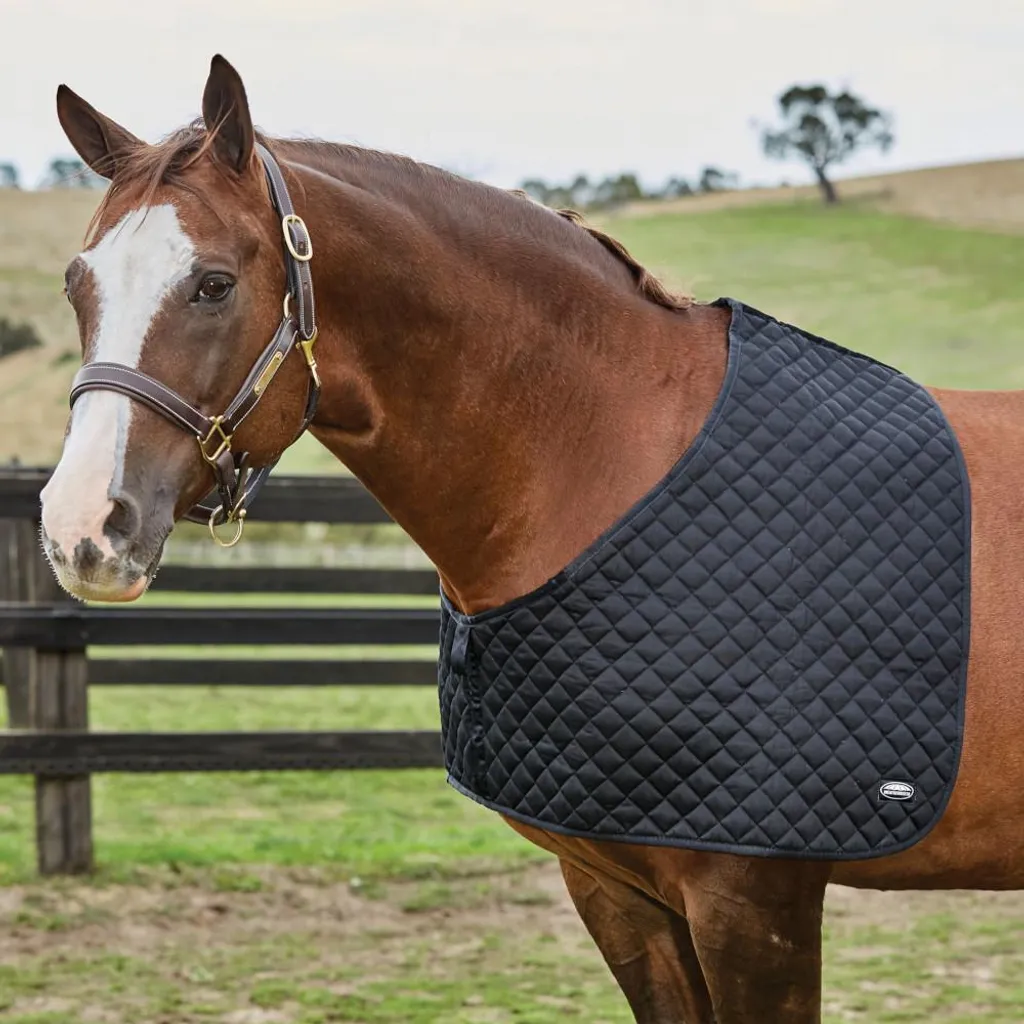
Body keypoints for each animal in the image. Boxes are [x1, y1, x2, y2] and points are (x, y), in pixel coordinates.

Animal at [38, 55, 1024, 1023]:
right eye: (77, 285)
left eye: (213, 283)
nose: (82, 526)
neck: (611, 464)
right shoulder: (616, 888)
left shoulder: (754, 903)